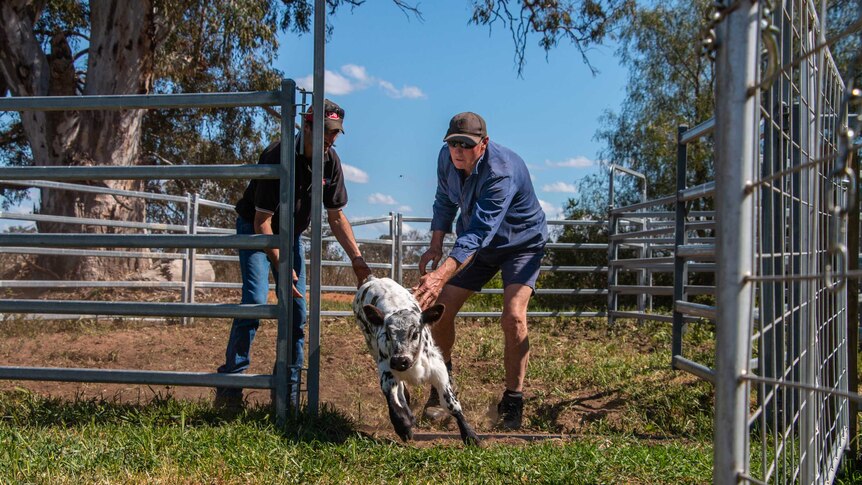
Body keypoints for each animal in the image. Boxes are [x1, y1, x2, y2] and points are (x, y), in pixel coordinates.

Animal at [354, 276, 482, 446]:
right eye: (387, 334)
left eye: (415, 333)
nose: (400, 360)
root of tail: (374, 279)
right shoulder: (386, 370)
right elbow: (393, 399)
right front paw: (403, 427)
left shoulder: (439, 372)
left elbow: (452, 404)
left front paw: (470, 435)